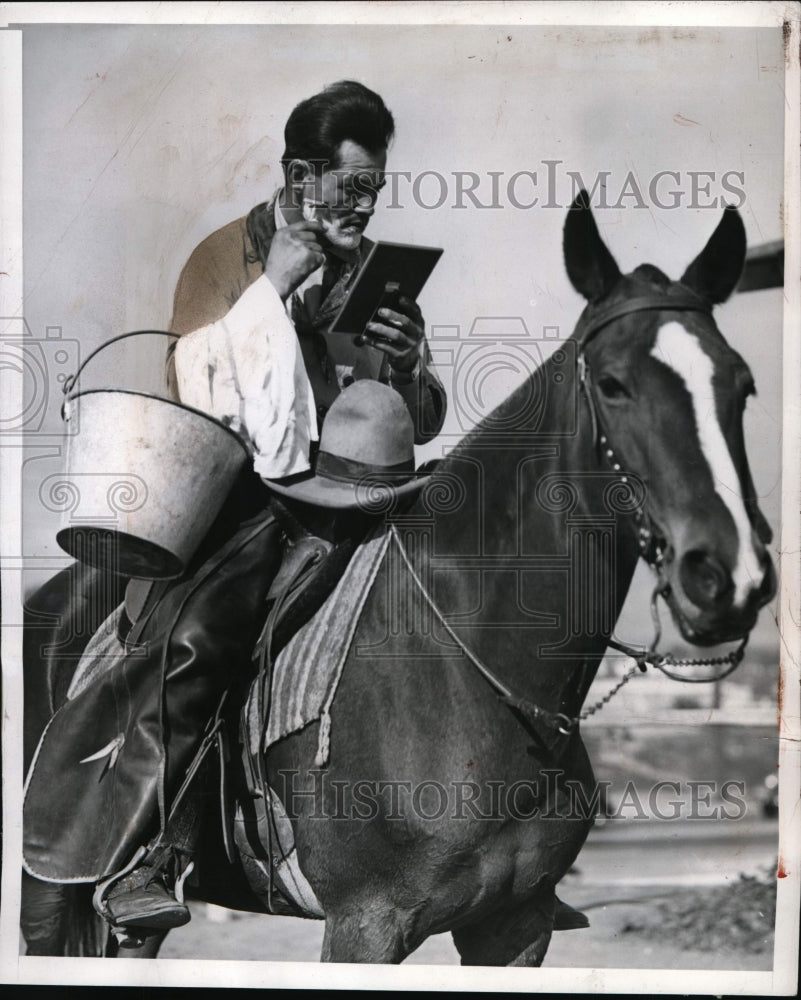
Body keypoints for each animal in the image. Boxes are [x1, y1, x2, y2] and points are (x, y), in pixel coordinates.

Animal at [20, 191, 776, 964]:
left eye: (742, 386)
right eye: (614, 384)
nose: (727, 575)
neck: (472, 664)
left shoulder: (516, 924)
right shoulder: (366, 923)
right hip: (45, 894)